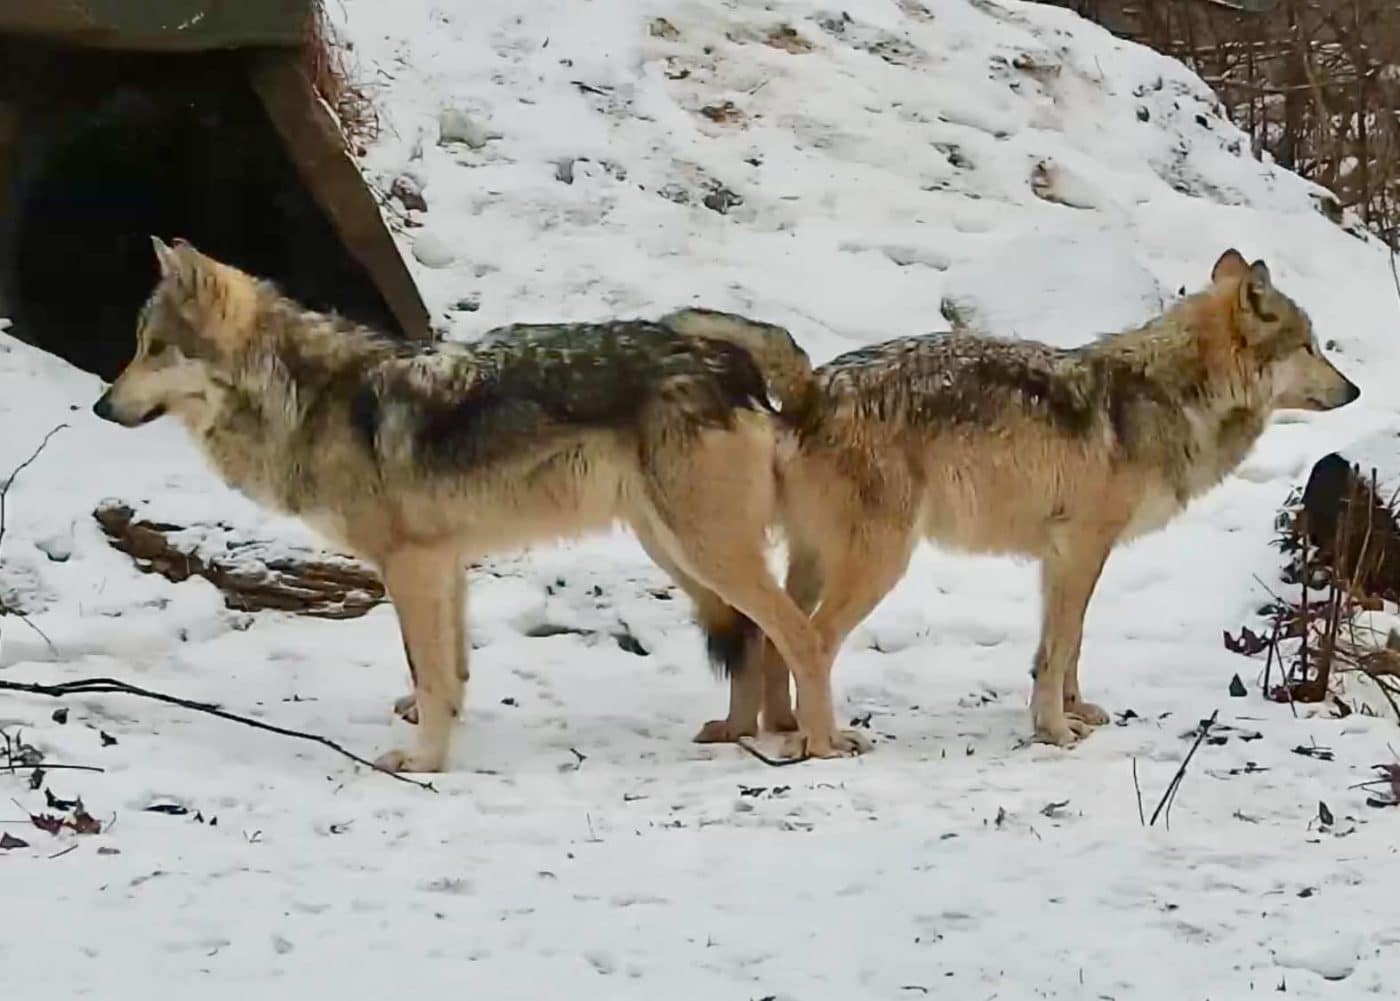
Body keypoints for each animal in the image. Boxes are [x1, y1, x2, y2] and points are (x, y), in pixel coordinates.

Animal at [90, 239, 862, 772]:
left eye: (156, 349)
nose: (100, 406)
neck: (304, 396)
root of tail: (730, 362)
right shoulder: (445, 562)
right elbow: (446, 668)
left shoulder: (410, 565)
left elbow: (430, 671)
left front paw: (423, 762)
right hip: (678, 552)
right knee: (753, 637)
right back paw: (735, 731)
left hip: (704, 550)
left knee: (800, 637)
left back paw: (821, 742)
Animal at [711, 249, 1355, 750]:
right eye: (1308, 346)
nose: (1354, 389)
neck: (1178, 393)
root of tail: (811, 387)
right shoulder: (1084, 547)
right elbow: (1060, 646)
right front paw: (1056, 731)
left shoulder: (1063, 556)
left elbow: (1065, 645)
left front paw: (1074, 711)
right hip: (881, 563)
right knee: (811, 640)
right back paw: (824, 740)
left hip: (818, 560)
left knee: (772, 633)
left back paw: (778, 728)